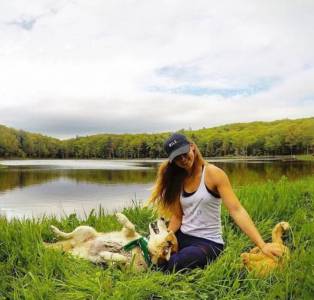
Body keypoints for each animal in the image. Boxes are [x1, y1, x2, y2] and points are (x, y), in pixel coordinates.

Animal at [43, 212, 178, 270]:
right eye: (168, 230)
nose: (163, 218)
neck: (142, 247)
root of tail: (75, 247)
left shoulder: (123, 268)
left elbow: (120, 259)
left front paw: (105, 254)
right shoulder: (127, 232)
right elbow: (131, 226)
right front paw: (121, 217)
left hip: (77, 257)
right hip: (86, 229)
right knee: (67, 234)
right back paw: (55, 230)